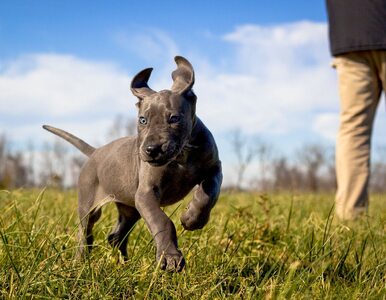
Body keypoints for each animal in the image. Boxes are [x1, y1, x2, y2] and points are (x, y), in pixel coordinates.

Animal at [42, 56, 222, 272]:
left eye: (174, 118)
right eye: (142, 120)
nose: (152, 149)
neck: (182, 156)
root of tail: (95, 152)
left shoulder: (214, 168)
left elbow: (209, 193)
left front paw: (192, 218)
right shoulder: (145, 193)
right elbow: (161, 221)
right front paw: (170, 257)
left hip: (130, 208)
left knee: (116, 236)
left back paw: (125, 266)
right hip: (90, 204)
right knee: (85, 233)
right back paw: (80, 264)